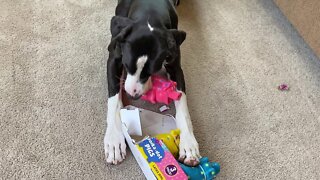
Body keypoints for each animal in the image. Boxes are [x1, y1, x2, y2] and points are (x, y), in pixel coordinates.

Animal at [104, 0, 200, 166]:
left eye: (152, 70)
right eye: (127, 65)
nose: (133, 95)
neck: (149, 8)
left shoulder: (175, 65)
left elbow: (183, 105)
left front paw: (188, 143)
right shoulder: (114, 58)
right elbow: (114, 100)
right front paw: (114, 139)